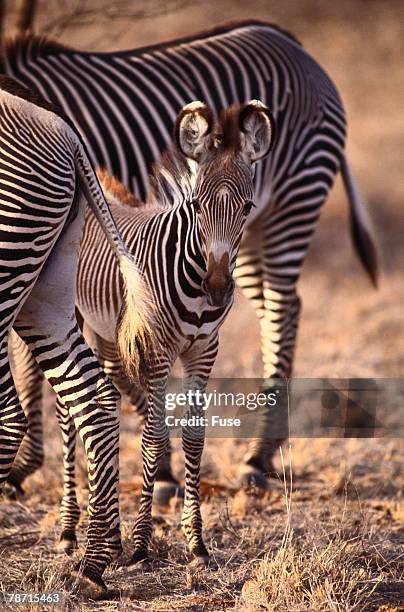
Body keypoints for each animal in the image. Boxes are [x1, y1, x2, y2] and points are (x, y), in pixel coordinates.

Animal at [3, 21, 378, 492]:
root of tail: (291, 41)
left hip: (292, 204)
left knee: (280, 311)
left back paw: (257, 457)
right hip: (246, 244)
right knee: (284, 306)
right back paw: (268, 448)